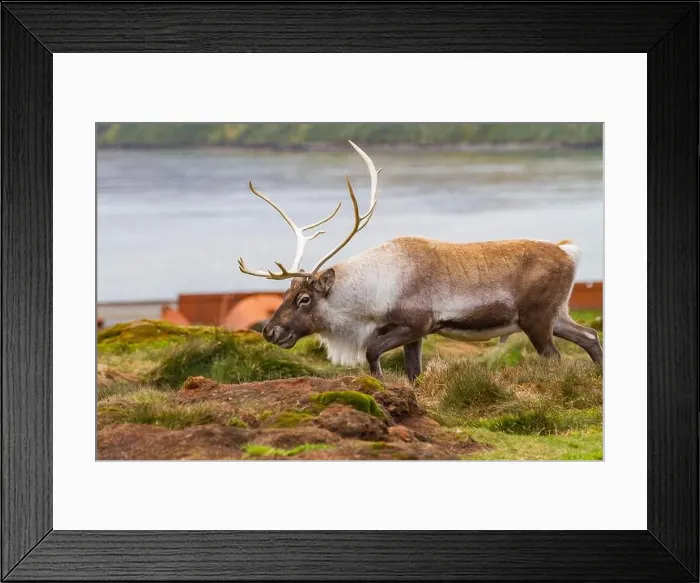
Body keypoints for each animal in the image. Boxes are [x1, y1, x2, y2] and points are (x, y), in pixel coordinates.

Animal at [238, 141, 603, 382]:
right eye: (285, 294)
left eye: (304, 298)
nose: (270, 331)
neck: (370, 295)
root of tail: (568, 252)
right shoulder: (416, 335)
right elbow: (413, 373)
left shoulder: (416, 324)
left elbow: (372, 352)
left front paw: (379, 386)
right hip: (556, 314)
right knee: (590, 336)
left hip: (536, 319)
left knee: (556, 357)